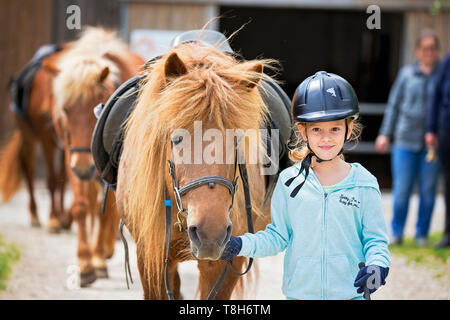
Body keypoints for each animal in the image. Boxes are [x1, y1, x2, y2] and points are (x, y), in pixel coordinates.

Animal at [0, 45, 70, 231]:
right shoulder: (47, 141)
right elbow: (52, 179)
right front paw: (53, 219)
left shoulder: (65, 144)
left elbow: (63, 179)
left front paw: (62, 217)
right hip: (28, 137)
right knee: (28, 170)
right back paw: (34, 215)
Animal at [47, 27, 144, 286]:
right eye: (66, 110)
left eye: (96, 106)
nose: (83, 168)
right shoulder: (72, 159)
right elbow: (82, 206)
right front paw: (85, 263)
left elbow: (108, 208)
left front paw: (98, 258)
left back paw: (105, 250)